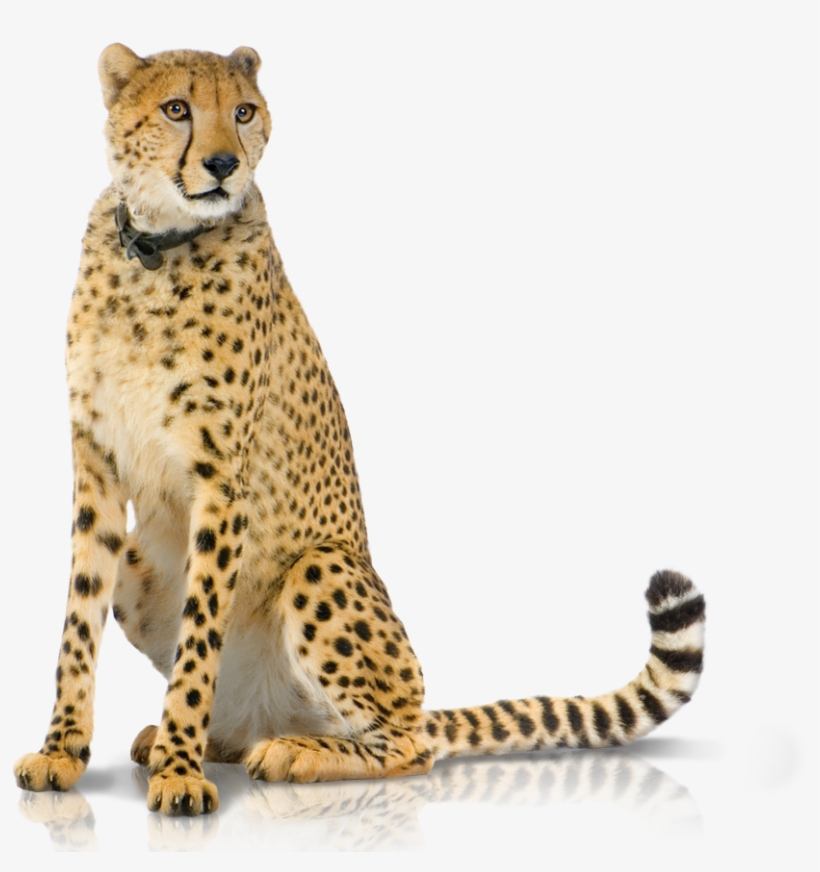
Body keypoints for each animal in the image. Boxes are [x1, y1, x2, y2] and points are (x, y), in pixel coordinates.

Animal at [13, 44, 706, 817]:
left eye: (243, 111)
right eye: (177, 109)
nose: (224, 164)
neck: (157, 252)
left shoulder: (223, 483)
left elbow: (199, 641)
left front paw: (180, 773)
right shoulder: (97, 467)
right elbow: (77, 622)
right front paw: (62, 750)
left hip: (323, 569)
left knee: (406, 747)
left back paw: (287, 751)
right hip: (142, 565)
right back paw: (189, 738)